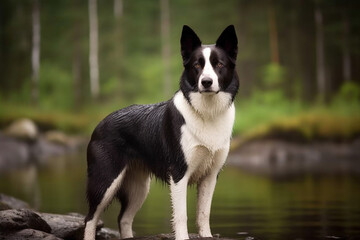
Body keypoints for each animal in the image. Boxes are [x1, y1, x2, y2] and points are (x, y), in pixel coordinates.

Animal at [84, 24, 239, 240]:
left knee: (124, 218)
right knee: (90, 219)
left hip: (139, 187)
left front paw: (206, 235)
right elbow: (181, 215)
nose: (206, 82)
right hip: (105, 181)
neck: (207, 113)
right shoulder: (179, 173)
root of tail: (99, 124)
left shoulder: (211, 175)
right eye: (197, 65)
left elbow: (203, 213)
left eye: (219, 64)